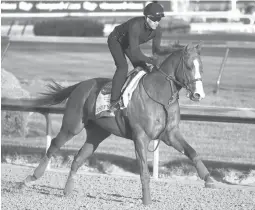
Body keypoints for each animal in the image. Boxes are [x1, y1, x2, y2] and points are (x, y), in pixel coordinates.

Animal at [21, 42, 215, 205]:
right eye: (189, 67)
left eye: (202, 68)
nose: (199, 95)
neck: (159, 95)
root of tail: (81, 85)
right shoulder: (141, 137)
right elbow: (143, 170)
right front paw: (147, 200)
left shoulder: (170, 133)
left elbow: (192, 152)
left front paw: (209, 179)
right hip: (72, 125)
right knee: (53, 145)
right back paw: (30, 178)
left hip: (96, 134)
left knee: (78, 158)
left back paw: (67, 191)